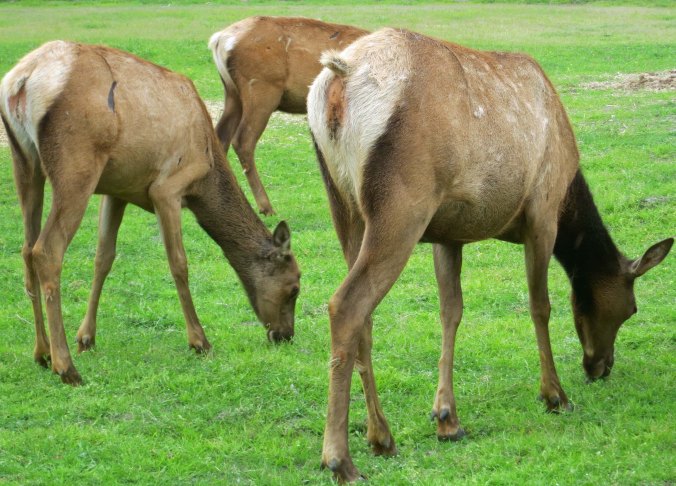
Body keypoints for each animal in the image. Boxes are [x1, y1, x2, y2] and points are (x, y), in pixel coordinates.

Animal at [0, 40, 301, 386]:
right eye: (294, 287)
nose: (285, 335)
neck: (207, 174)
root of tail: (21, 80)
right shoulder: (168, 188)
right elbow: (179, 263)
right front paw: (199, 341)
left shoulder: (116, 190)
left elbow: (103, 258)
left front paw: (86, 337)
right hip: (76, 167)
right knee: (47, 250)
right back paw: (66, 367)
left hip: (25, 163)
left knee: (26, 249)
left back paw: (42, 352)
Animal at [209, 16, 368, 216]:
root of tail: (220, 39)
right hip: (262, 88)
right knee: (243, 140)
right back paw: (266, 206)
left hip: (232, 92)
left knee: (221, 136)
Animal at [307, 28, 673, 482]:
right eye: (630, 308)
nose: (599, 367)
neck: (570, 197)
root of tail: (340, 74)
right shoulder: (542, 213)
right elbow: (540, 306)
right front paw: (554, 394)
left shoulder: (448, 235)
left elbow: (451, 312)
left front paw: (447, 418)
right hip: (401, 204)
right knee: (346, 304)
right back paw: (340, 458)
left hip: (344, 206)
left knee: (365, 317)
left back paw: (382, 437)